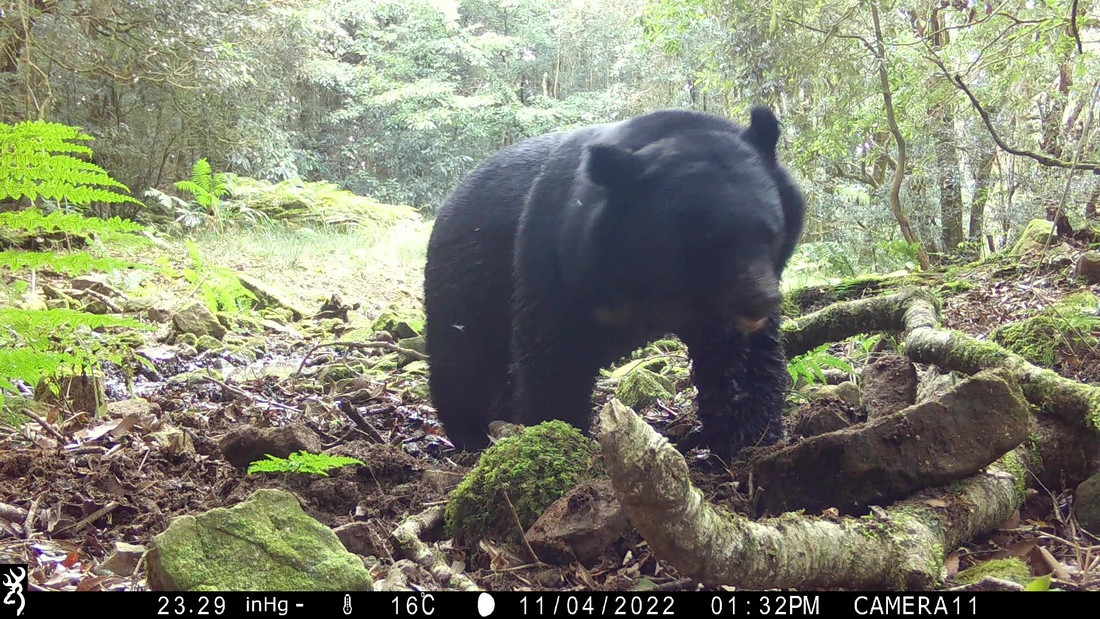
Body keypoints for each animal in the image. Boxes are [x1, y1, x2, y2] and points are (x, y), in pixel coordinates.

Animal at [424, 107, 805, 459]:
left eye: (770, 233)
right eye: (706, 244)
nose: (761, 301)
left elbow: (739, 357)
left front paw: (750, 437)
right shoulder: (557, 260)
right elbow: (554, 353)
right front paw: (558, 434)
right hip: (465, 283)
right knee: (464, 362)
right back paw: (472, 433)